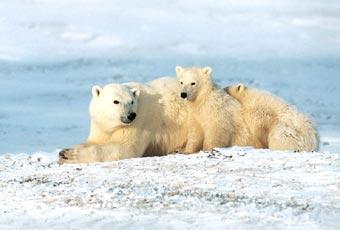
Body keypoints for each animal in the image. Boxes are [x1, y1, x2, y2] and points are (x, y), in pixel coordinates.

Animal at [57, 78, 194, 164]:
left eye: (131, 101)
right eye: (116, 101)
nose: (131, 115)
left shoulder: (141, 120)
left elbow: (124, 147)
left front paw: (71, 155)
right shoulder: (101, 125)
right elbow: (95, 140)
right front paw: (64, 153)